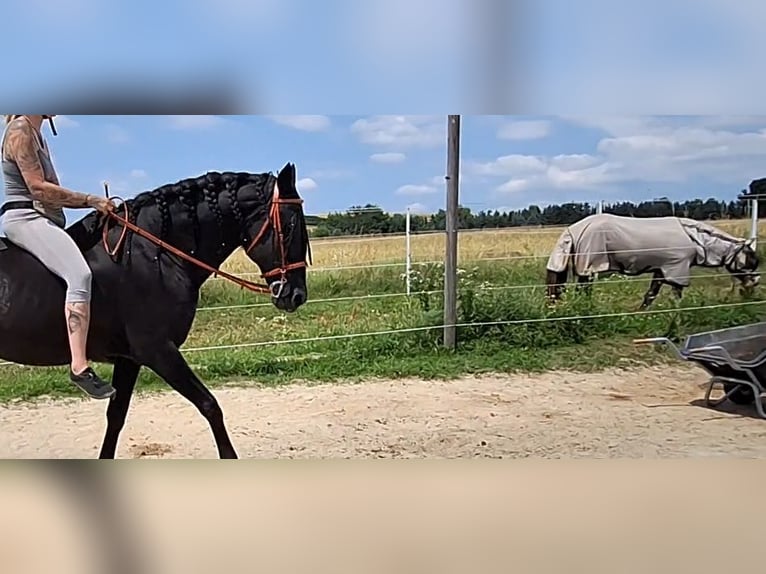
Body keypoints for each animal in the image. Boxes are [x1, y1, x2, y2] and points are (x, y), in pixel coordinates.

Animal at [0, 164, 314, 462]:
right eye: (289, 225)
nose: (296, 295)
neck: (152, 254)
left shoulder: (130, 360)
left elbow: (116, 417)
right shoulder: (158, 351)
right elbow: (210, 406)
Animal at [544, 213, 760, 310]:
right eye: (750, 261)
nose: (752, 288)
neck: (696, 240)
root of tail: (576, 228)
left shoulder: (661, 270)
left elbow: (651, 294)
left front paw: (641, 312)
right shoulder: (677, 270)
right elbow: (675, 295)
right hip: (589, 267)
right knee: (583, 291)